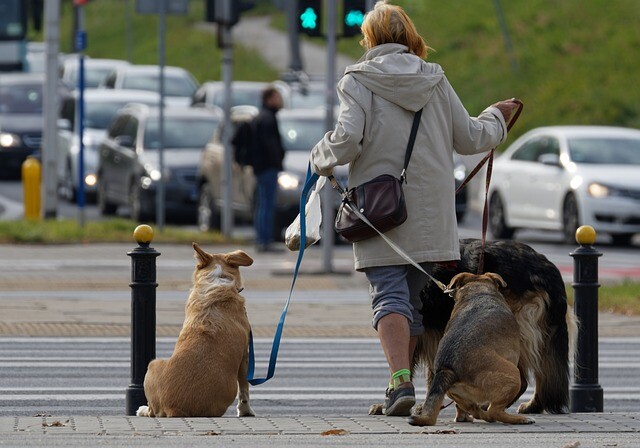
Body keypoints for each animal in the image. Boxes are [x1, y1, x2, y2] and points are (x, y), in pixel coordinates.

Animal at [137, 243, 255, 418]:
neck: (217, 279)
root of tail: (174, 409)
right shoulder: (245, 357)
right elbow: (244, 390)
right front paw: (245, 411)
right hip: (153, 364)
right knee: (152, 411)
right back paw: (142, 409)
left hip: (153, 365)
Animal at [410, 272, 536, 426]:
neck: (478, 290)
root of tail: (448, 370)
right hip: (513, 375)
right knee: (494, 411)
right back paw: (520, 419)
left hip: (457, 394)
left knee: (476, 410)